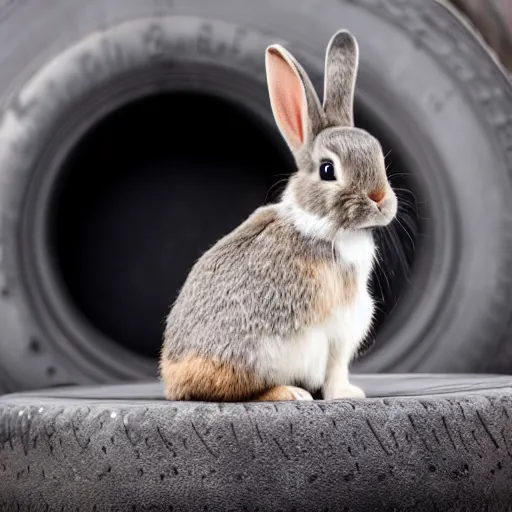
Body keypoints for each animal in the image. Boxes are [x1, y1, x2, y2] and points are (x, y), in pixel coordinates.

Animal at [158, 30, 398, 402]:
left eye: (378, 158)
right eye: (327, 170)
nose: (380, 199)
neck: (321, 226)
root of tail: (175, 380)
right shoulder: (339, 332)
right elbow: (335, 372)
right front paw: (346, 394)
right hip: (263, 355)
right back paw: (291, 393)